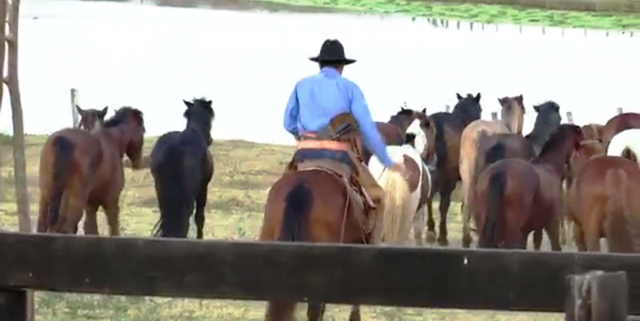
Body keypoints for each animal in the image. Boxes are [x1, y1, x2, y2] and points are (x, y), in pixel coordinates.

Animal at [37, 106, 145, 234]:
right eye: (143, 130)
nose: (137, 163)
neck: (112, 140)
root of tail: (62, 139)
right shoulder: (111, 202)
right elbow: (114, 229)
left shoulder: (90, 206)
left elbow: (91, 229)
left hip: (46, 198)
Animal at [150, 97, 215, 238]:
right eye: (210, 117)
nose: (210, 139)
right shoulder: (203, 188)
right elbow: (199, 218)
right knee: (186, 218)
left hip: (161, 190)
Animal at [424, 92, 480, 245]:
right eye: (480, 109)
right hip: (448, 178)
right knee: (444, 204)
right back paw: (442, 235)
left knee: (429, 198)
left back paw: (431, 230)